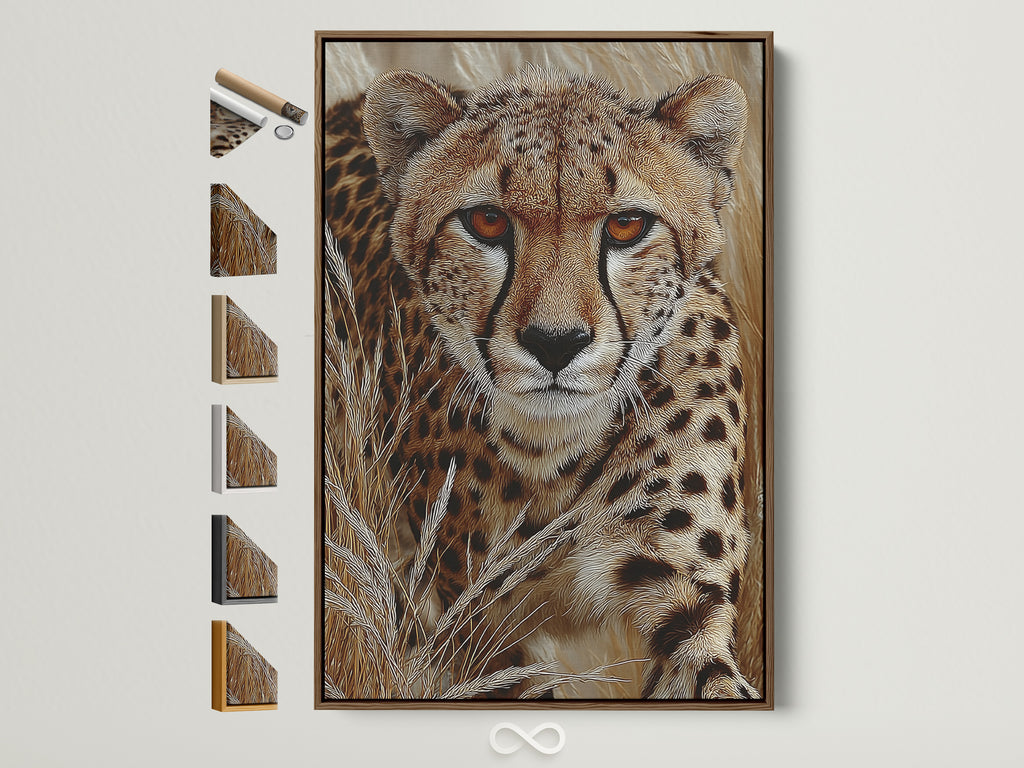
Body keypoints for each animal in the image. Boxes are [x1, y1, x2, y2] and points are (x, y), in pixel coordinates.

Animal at [323, 65, 757, 700]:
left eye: (627, 225)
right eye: (487, 221)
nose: (556, 342)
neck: (556, 457)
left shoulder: (688, 600)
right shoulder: (478, 628)